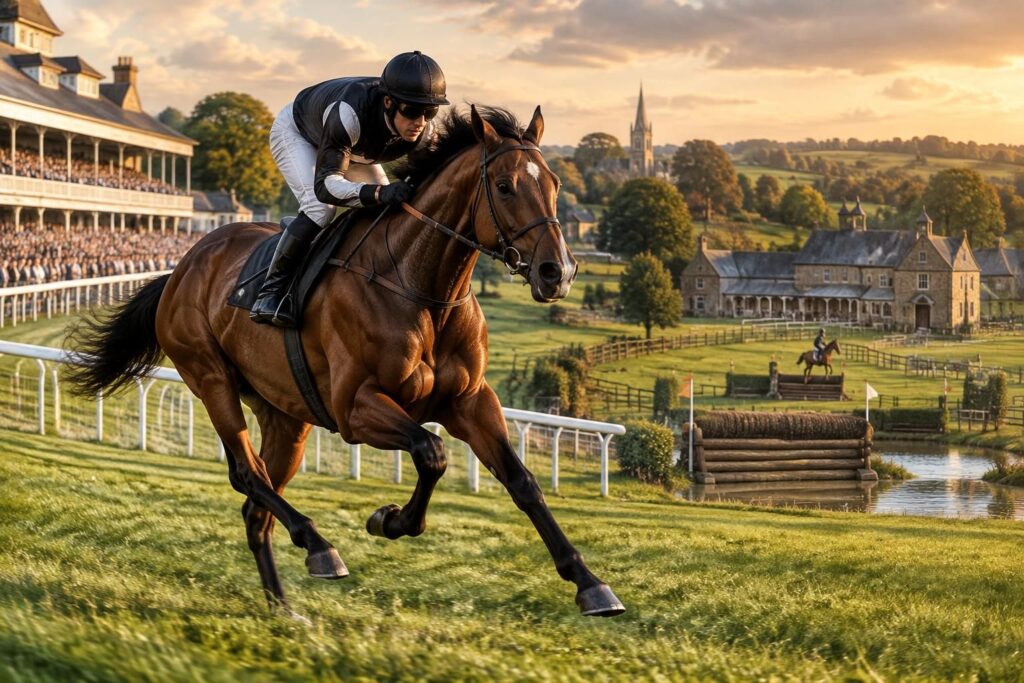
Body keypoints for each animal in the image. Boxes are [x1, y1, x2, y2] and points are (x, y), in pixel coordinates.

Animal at [65, 105, 625, 620]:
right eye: (506, 187)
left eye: (554, 183)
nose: (558, 272)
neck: (421, 288)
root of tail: (181, 267)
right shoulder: (356, 408)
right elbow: (431, 452)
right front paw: (389, 519)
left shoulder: (470, 401)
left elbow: (522, 481)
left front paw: (591, 584)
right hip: (210, 377)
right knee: (247, 475)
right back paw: (319, 547)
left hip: (285, 416)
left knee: (256, 506)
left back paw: (283, 605)